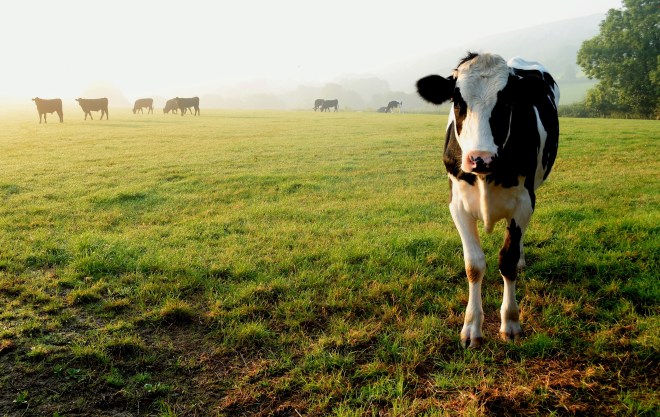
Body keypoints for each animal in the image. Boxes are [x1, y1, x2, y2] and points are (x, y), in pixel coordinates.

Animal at [416, 52, 559, 348]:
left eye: (506, 102)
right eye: (458, 101)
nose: (480, 158)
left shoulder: (524, 202)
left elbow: (507, 259)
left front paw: (511, 322)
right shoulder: (457, 204)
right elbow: (474, 265)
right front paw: (471, 327)